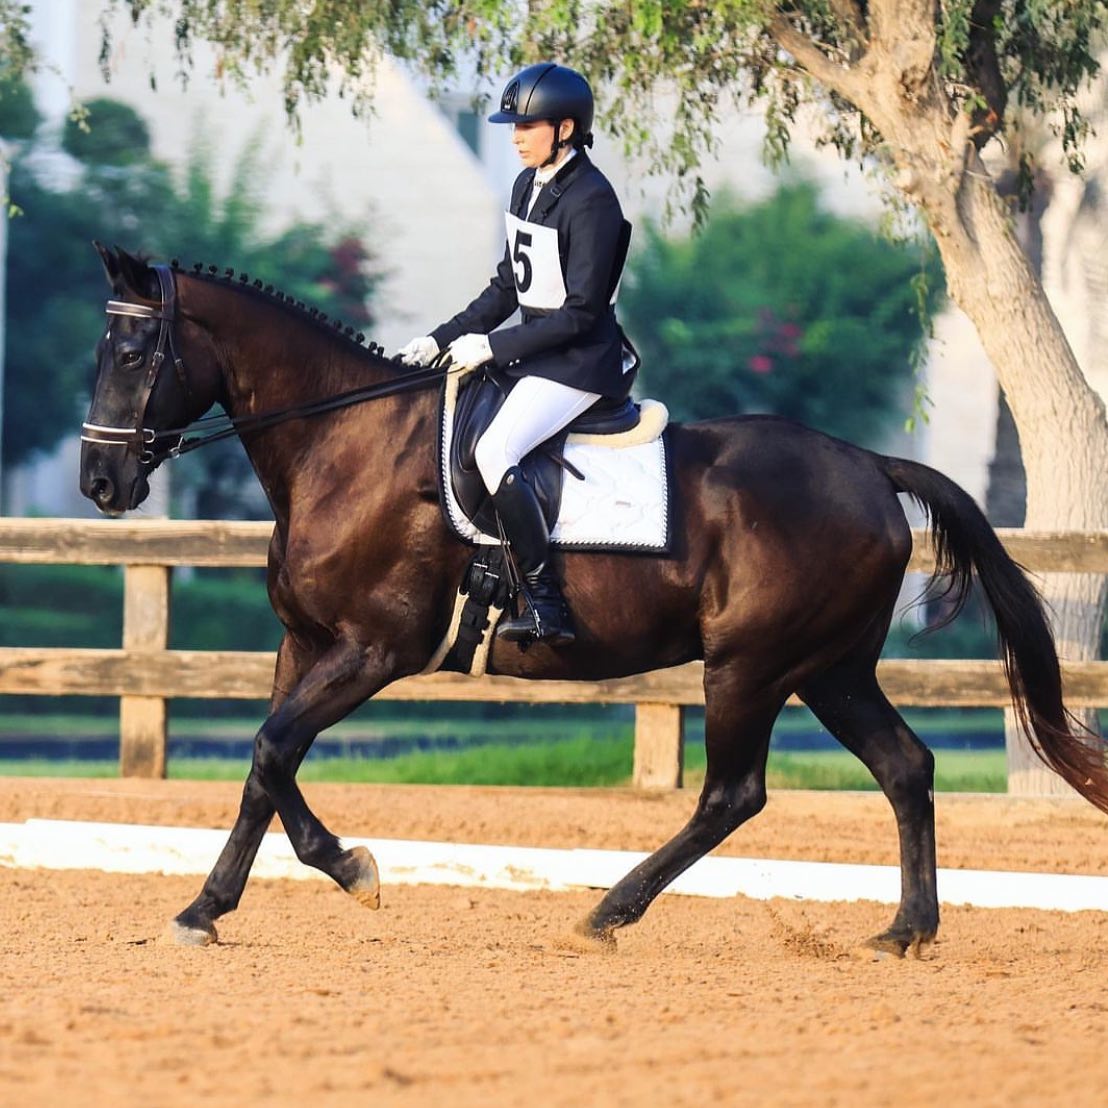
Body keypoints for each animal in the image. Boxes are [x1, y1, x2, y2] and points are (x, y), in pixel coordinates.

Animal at [81, 245, 1108, 954]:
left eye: (132, 352)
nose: (99, 482)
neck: (343, 441)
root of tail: (866, 465)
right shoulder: (304, 645)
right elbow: (269, 766)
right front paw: (255, 895)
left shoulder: (374, 650)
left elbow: (270, 751)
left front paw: (294, 884)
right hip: (832, 669)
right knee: (904, 767)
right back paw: (904, 932)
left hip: (751, 666)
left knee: (733, 794)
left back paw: (609, 913)